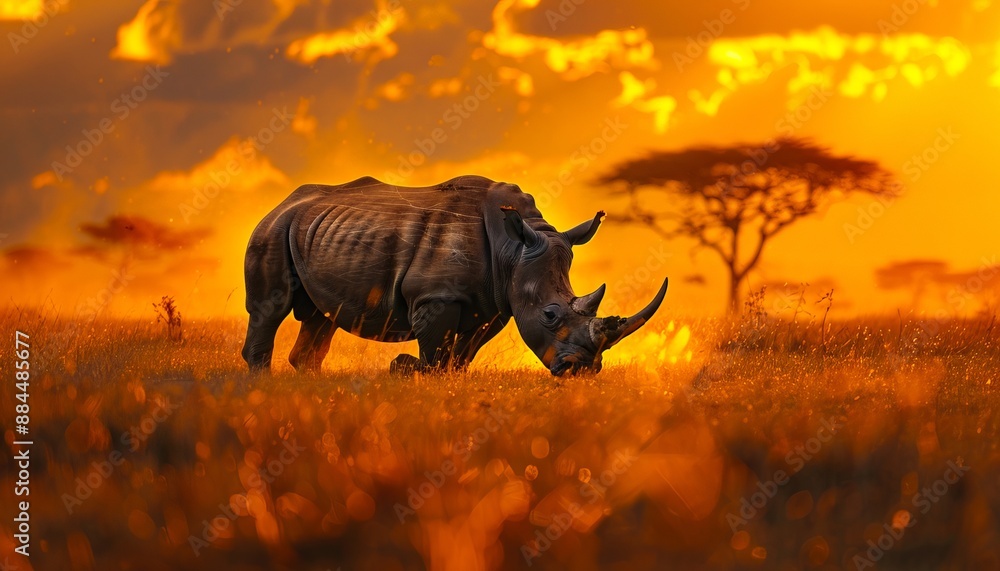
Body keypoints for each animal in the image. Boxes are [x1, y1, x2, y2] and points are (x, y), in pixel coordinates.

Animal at [241, 175, 668, 376]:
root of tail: (285, 201)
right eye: (550, 314)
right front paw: (406, 369)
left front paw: (449, 381)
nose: (582, 370)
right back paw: (264, 383)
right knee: (270, 307)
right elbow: (434, 353)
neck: (512, 250)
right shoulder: (435, 296)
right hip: (273, 228)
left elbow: (463, 354)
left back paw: (309, 382)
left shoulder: (494, 305)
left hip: (319, 231)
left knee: (319, 316)